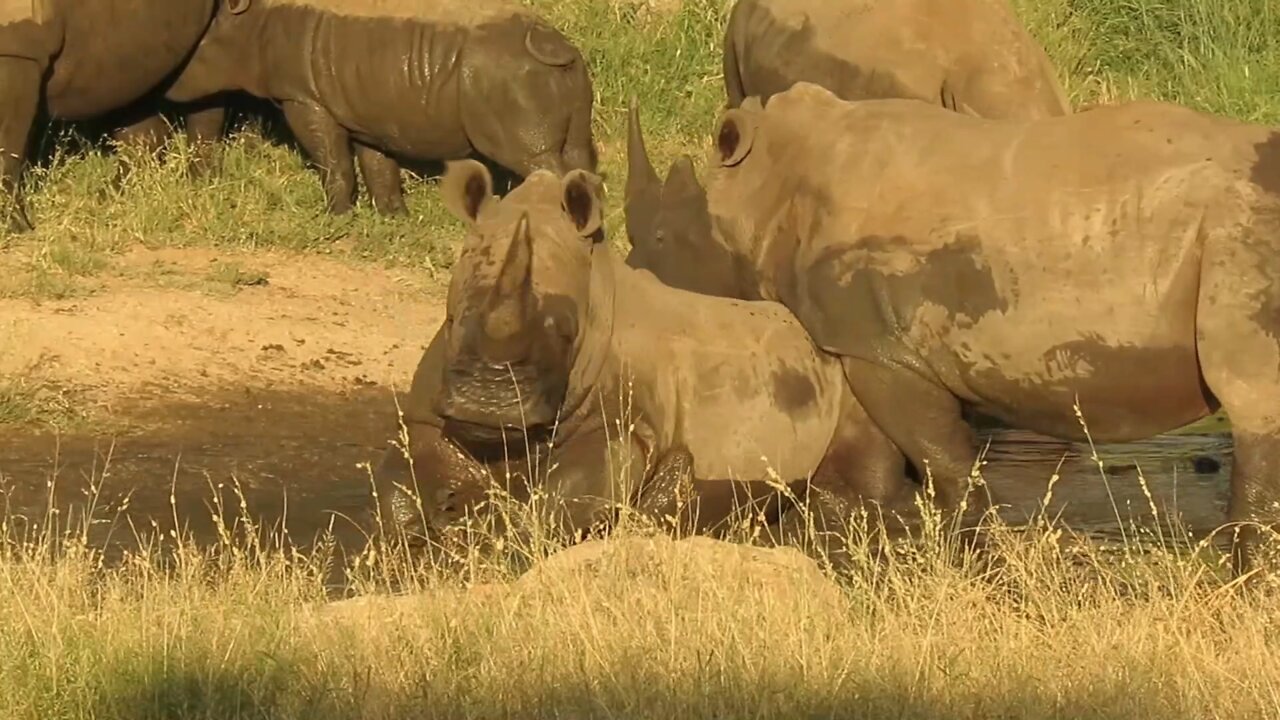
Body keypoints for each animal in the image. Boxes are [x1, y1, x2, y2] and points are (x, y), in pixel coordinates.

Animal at [162, 0, 596, 215]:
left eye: (192, 54)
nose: (166, 93)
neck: (252, 21)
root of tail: (553, 44)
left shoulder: (304, 97)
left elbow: (332, 160)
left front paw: (335, 218)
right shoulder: (365, 105)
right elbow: (376, 163)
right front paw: (393, 218)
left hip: (506, 79)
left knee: (534, 158)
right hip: (565, 75)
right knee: (577, 154)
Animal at [371, 156, 911, 538]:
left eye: (565, 332)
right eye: (450, 318)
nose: (487, 407)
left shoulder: (627, 423)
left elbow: (564, 498)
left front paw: (494, 528)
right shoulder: (430, 410)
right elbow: (403, 475)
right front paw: (432, 522)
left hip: (848, 377)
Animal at [645, 77, 1280, 571]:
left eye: (668, 241)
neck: (772, 182)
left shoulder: (878, 346)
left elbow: (939, 457)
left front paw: (966, 554)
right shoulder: (861, 340)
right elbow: (885, 455)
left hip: (1243, 235)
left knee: (1252, 397)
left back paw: (1248, 582)